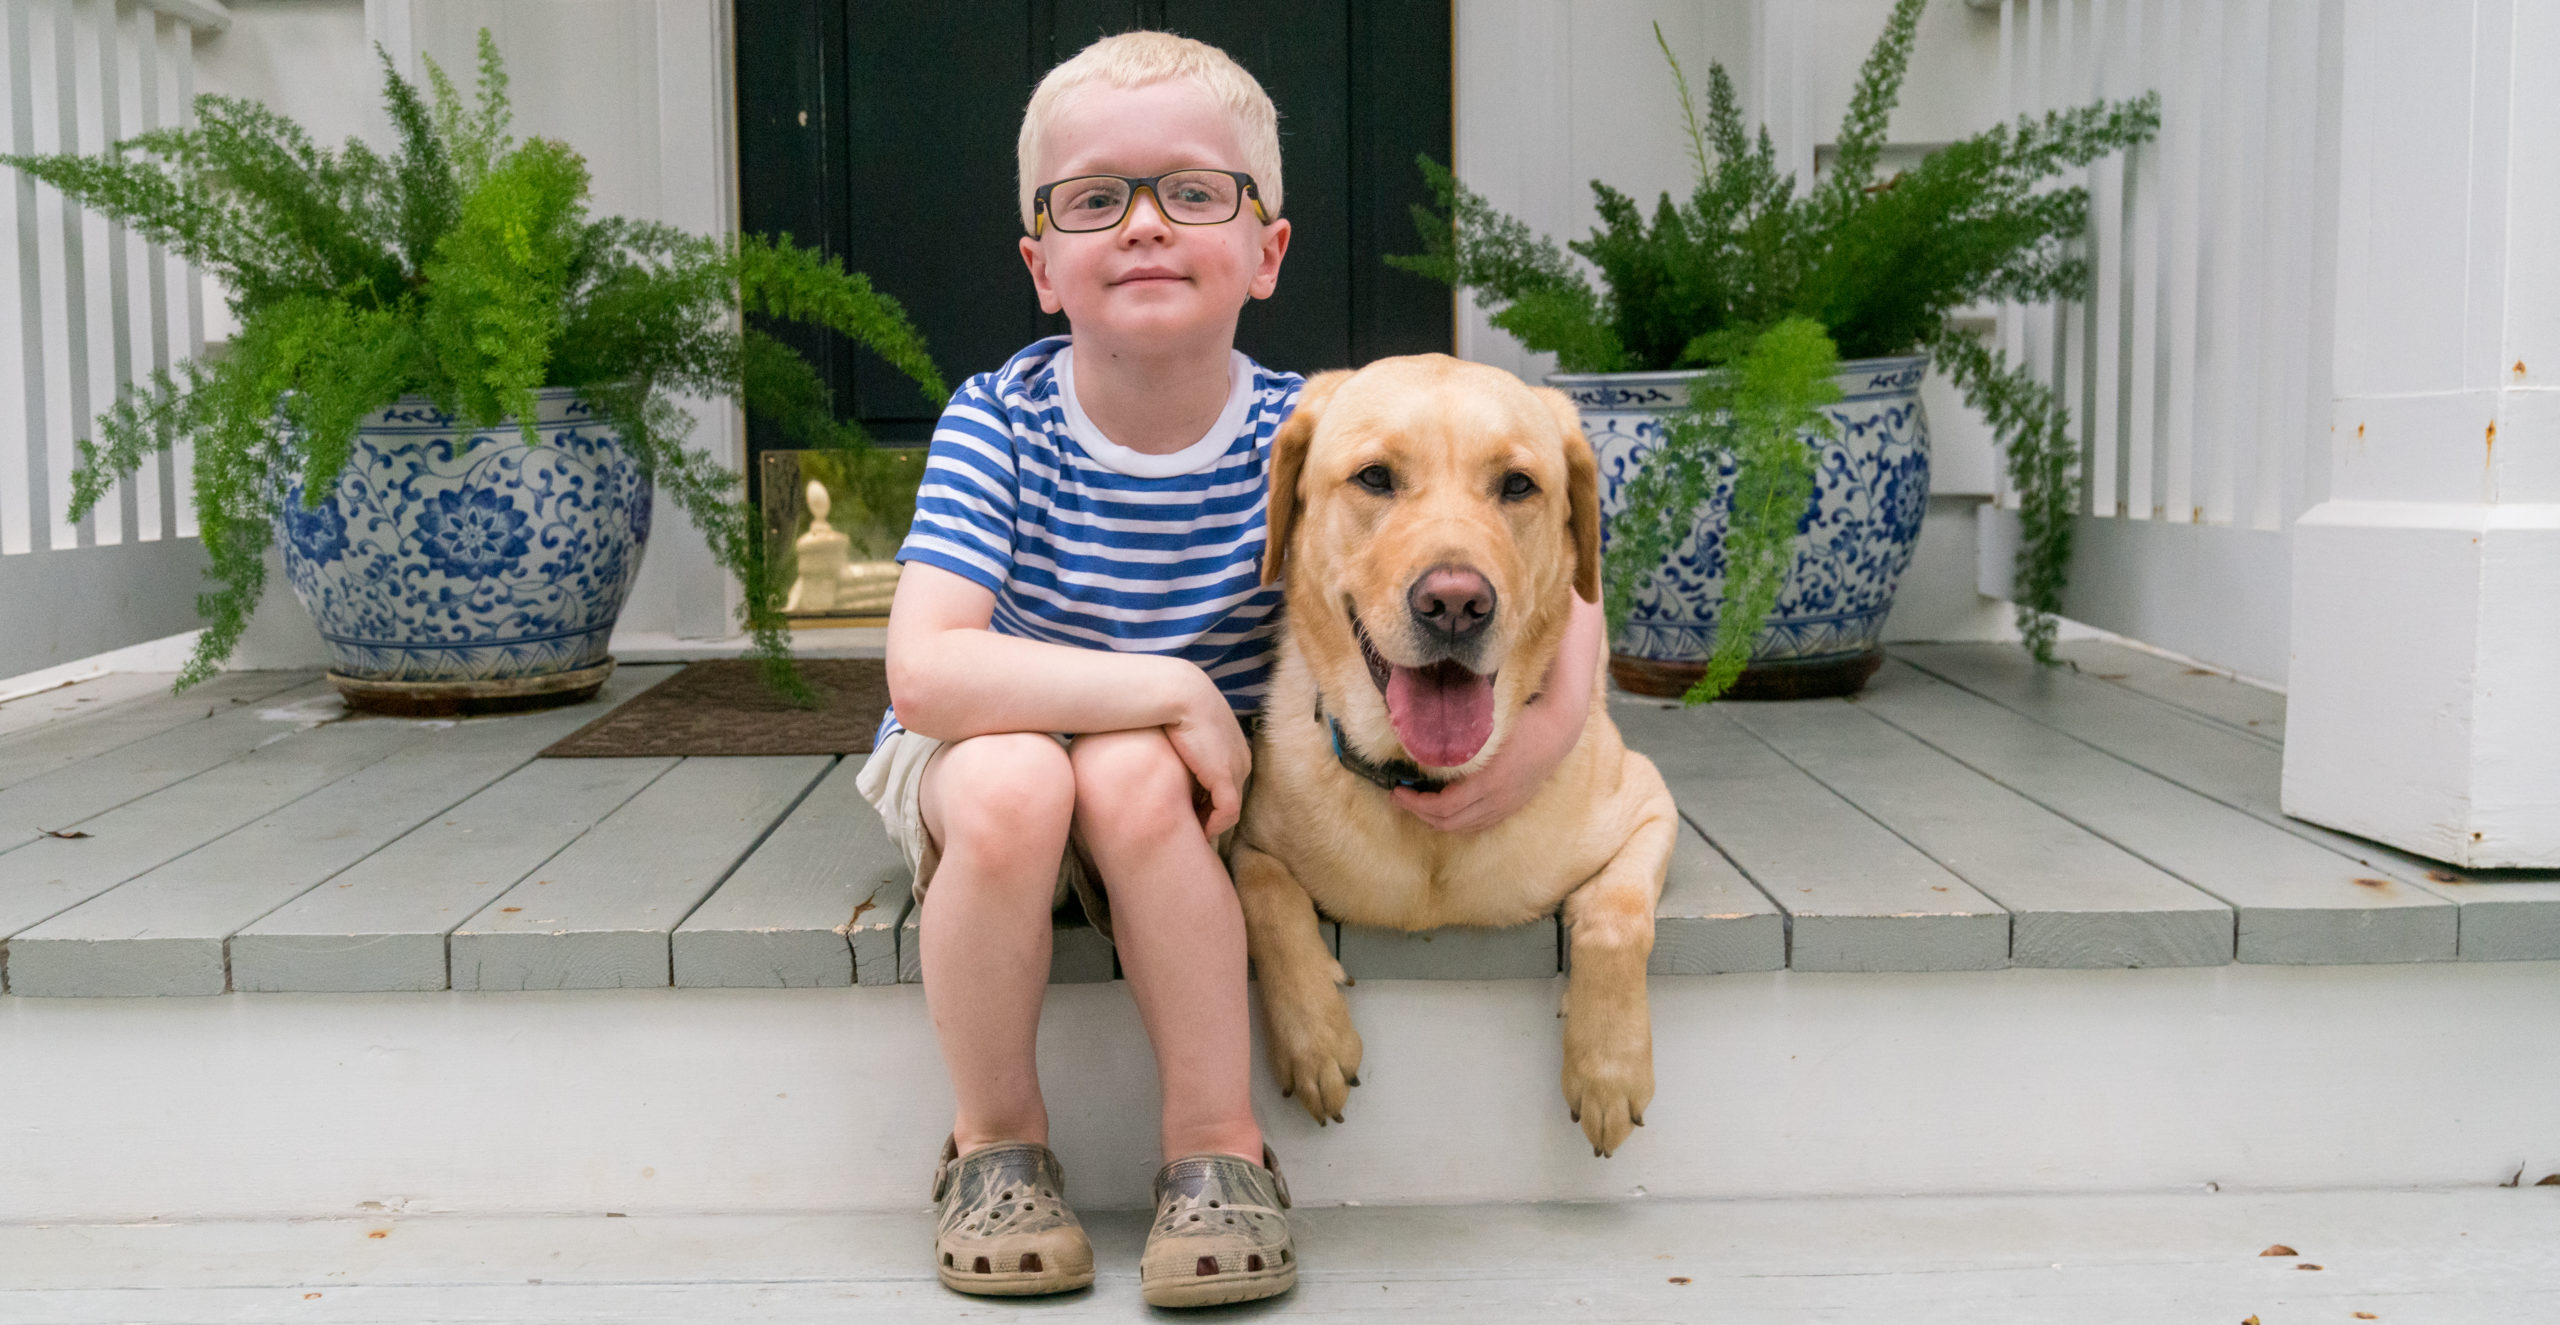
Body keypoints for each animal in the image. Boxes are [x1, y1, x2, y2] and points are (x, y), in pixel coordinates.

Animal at [1233, 358, 1679, 1156]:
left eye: (1518, 485)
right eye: (1375, 477)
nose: (1454, 604)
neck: (1426, 784)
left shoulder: (1650, 804)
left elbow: (1616, 911)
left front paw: (1609, 1068)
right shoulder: (1245, 840)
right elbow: (1266, 896)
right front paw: (1315, 1040)